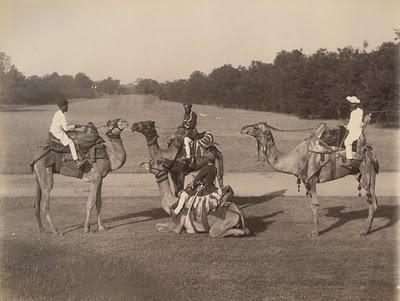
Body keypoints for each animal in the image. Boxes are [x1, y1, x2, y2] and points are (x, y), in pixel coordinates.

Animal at [239, 120, 380, 236]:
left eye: (256, 127)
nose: (242, 128)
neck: (294, 160)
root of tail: (370, 151)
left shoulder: (311, 179)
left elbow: (315, 204)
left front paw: (314, 233)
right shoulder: (305, 181)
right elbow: (311, 205)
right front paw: (314, 231)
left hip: (366, 170)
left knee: (372, 202)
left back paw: (364, 231)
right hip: (360, 173)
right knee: (374, 201)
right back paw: (367, 229)